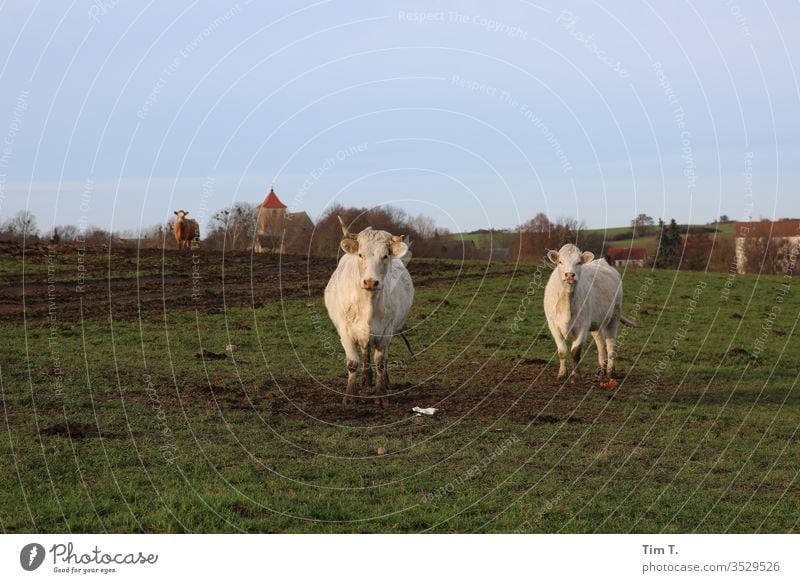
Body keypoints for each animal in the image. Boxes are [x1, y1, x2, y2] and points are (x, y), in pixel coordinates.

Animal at [324, 218, 416, 406]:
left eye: (385, 256)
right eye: (360, 255)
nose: (370, 282)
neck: (368, 303)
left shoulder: (386, 331)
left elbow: (380, 362)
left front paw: (381, 395)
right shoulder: (345, 332)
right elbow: (353, 363)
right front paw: (350, 396)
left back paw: (382, 383)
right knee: (365, 354)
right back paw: (365, 381)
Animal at [544, 244, 636, 380]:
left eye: (579, 262)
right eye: (560, 261)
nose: (569, 275)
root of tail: (602, 261)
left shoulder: (583, 325)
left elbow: (575, 351)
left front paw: (576, 374)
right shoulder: (553, 325)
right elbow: (562, 350)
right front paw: (562, 374)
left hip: (614, 316)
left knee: (610, 344)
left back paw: (610, 371)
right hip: (597, 323)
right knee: (601, 343)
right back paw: (601, 369)